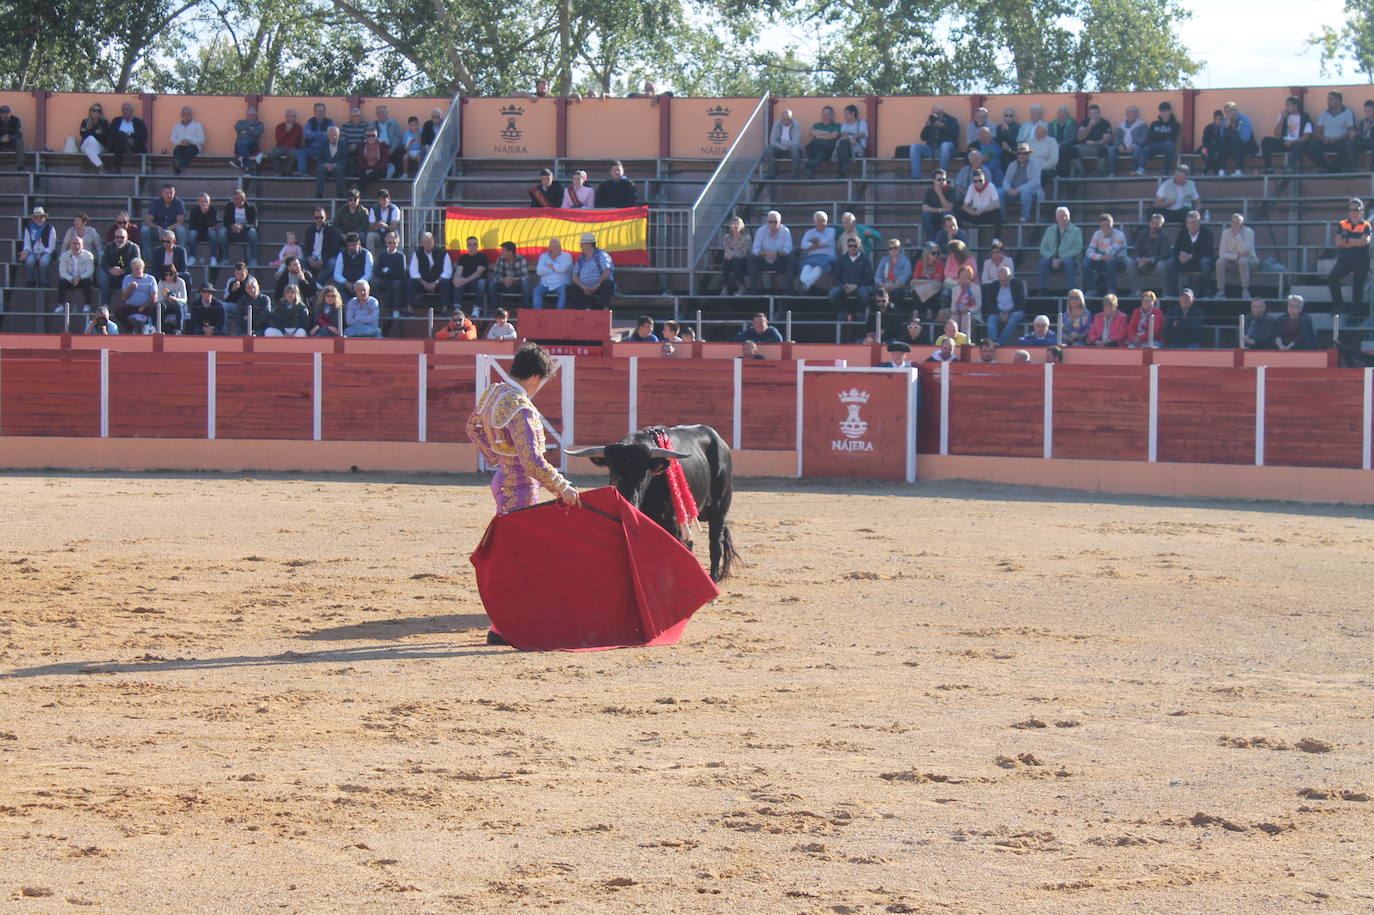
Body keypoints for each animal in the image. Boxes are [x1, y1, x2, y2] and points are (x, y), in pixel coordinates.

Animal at [563, 423, 741, 577]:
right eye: (612, 470)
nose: (629, 501)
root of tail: (721, 442)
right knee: (690, 545)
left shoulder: (672, 522)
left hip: (719, 509)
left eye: (643, 473)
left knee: (715, 545)